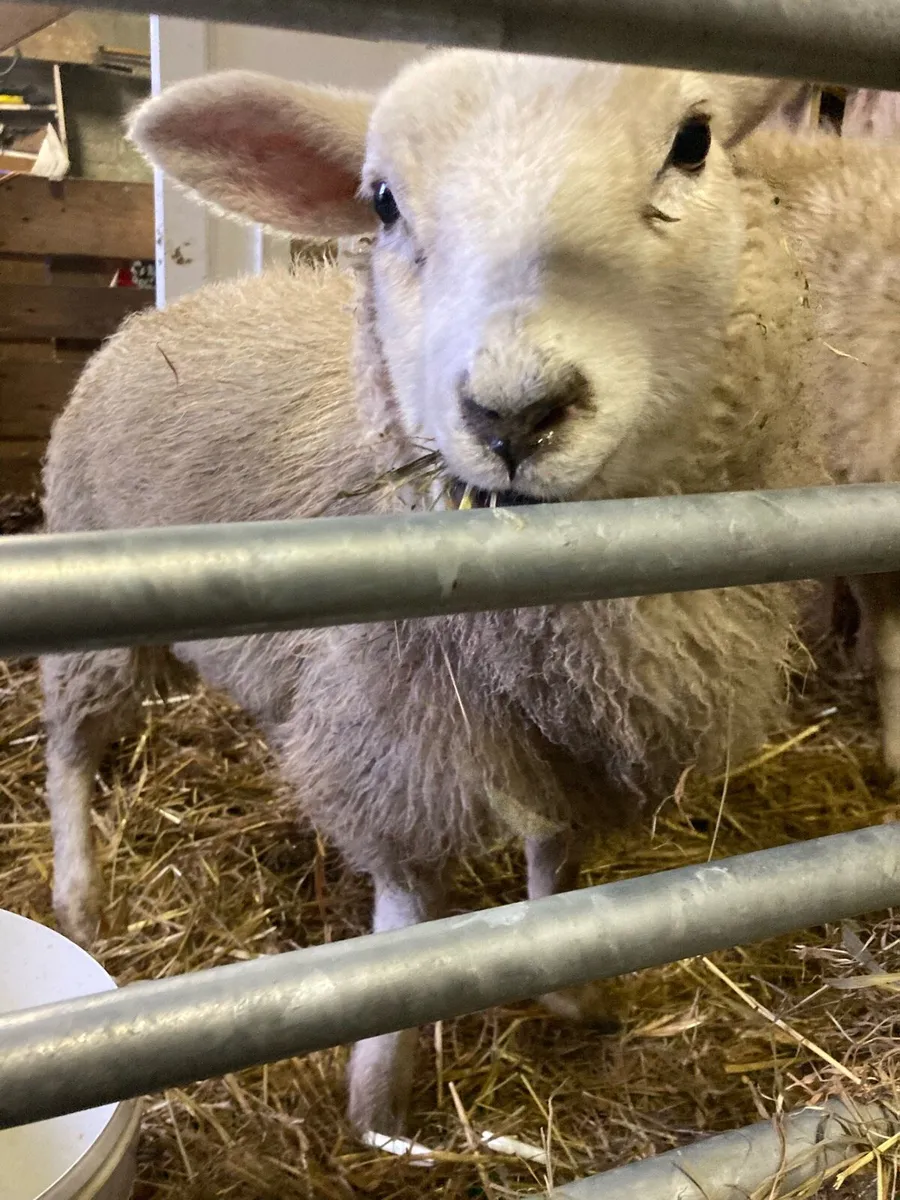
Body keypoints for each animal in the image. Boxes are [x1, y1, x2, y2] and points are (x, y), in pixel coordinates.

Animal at [40, 51, 829, 1136]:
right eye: (382, 202)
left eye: (693, 142)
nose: (514, 413)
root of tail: (149, 316)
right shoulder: (396, 738)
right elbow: (410, 924)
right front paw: (378, 1107)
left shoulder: (583, 741)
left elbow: (559, 862)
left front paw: (570, 989)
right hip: (98, 608)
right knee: (69, 746)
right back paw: (80, 891)